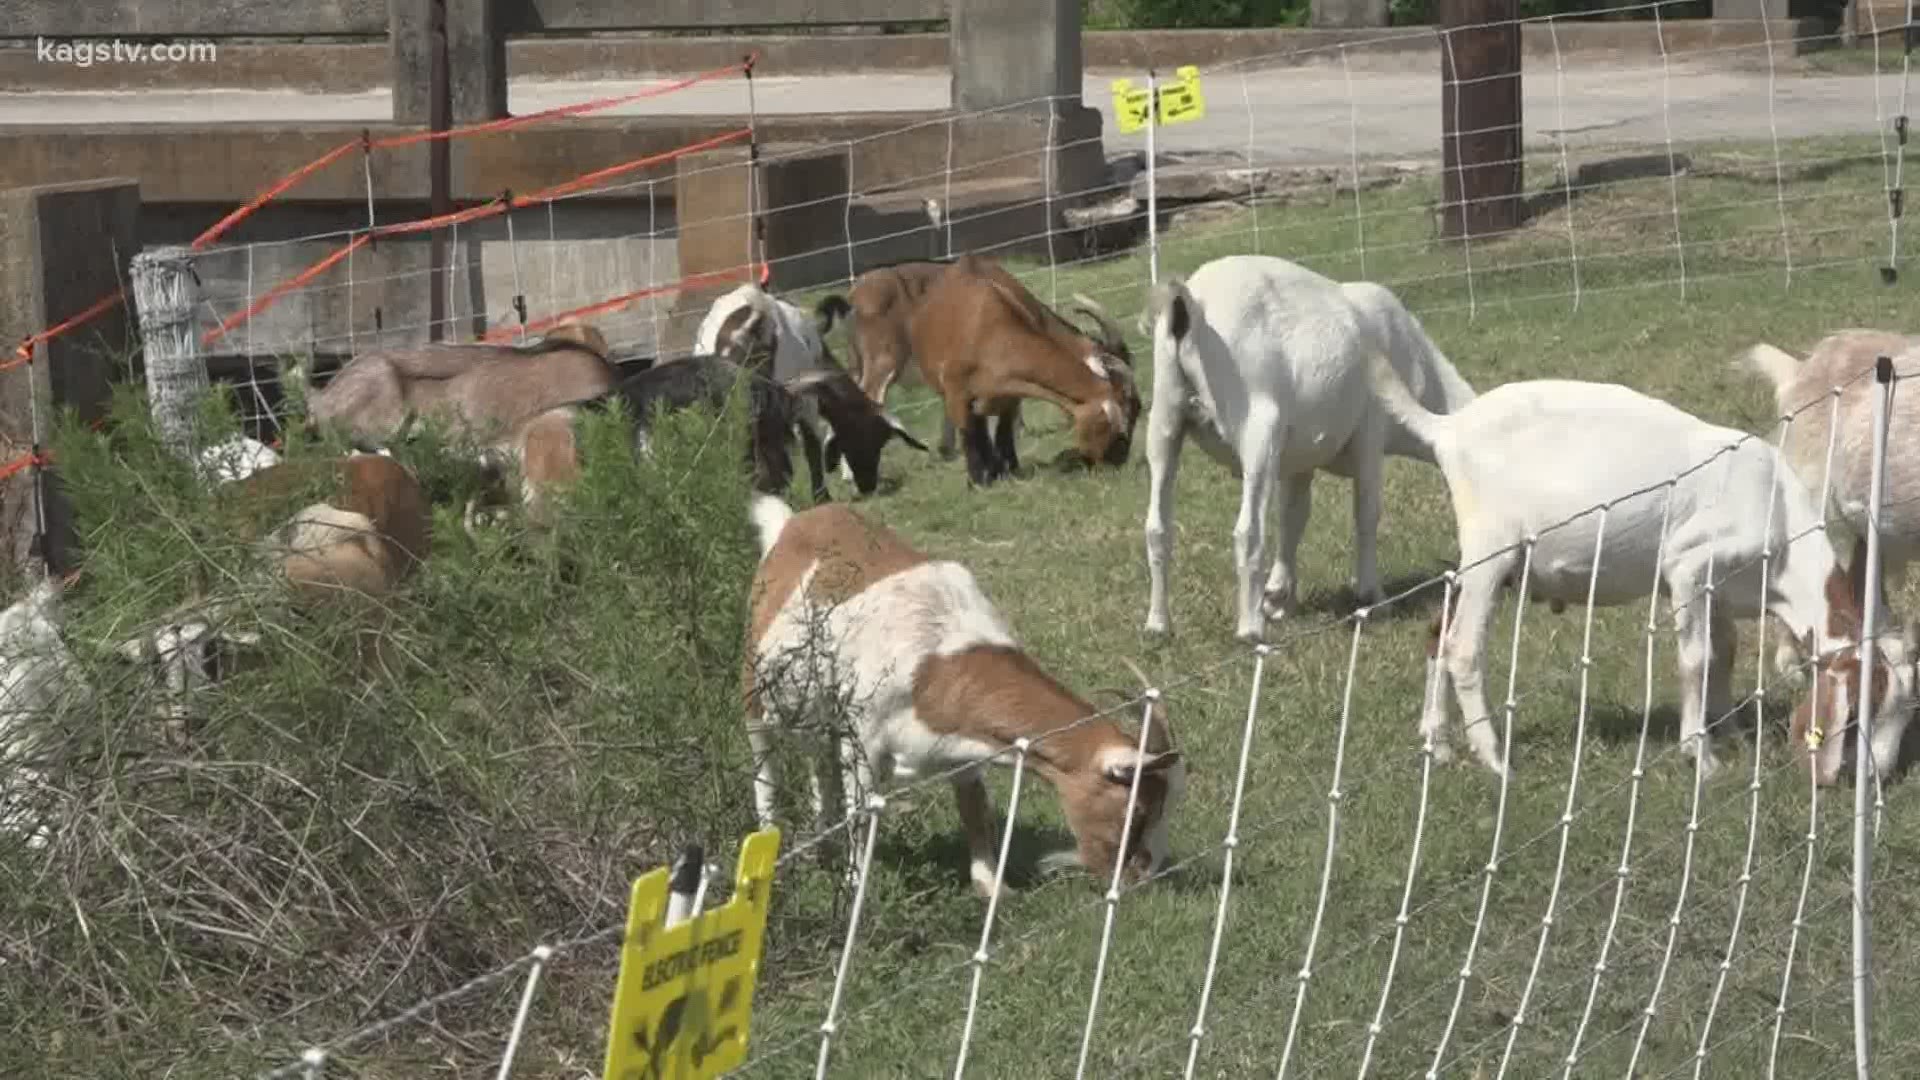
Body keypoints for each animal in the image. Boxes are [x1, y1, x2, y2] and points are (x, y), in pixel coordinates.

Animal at [744, 495, 1182, 891]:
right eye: (1138, 812)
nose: (1141, 879)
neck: (936, 664)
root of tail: (792, 520)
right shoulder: (863, 742)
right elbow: (862, 816)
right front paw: (855, 886)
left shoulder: (963, 749)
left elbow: (975, 810)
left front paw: (992, 886)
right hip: (756, 687)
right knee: (764, 764)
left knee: (817, 760)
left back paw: (822, 846)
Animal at [1144, 251, 1474, 638]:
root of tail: (1191, 305)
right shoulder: (1371, 433)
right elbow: (1367, 512)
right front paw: (1373, 597)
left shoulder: (1300, 459)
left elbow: (1293, 517)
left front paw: (1278, 597)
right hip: (1258, 426)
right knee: (1247, 532)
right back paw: (1249, 628)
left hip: (1165, 416)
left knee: (1157, 527)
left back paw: (1157, 624)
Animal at [1374, 357, 1912, 776]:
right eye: (1867, 705)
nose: (1880, 775)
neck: (1776, 513)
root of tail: (1448, 430)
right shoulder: (1689, 567)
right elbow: (1696, 658)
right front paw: (1701, 755)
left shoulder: (1720, 590)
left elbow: (1725, 651)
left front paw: (1734, 733)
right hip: (1493, 547)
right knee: (1463, 647)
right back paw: (1494, 758)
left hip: (1486, 563)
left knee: (1437, 631)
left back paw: (1438, 743)